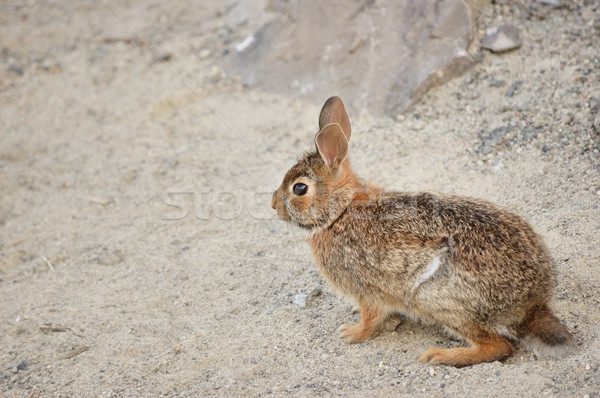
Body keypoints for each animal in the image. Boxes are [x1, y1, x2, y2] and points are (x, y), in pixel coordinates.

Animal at [272, 95, 576, 366]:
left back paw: (440, 356)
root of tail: (531, 307)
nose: (273, 204)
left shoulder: (366, 289)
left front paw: (350, 333)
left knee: (497, 346)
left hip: (435, 299)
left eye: (299, 188)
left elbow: (371, 320)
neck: (340, 211)